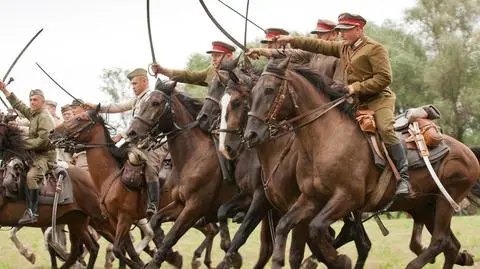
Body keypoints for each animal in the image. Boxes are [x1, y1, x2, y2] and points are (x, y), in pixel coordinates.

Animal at [244, 58, 480, 268]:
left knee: (440, 241)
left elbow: (317, 228)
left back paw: (413, 265)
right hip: (425, 207)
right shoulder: (311, 198)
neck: (326, 138)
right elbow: (285, 227)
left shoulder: (347, 198)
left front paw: (339, 260)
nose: (251, 135)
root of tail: (468, 152)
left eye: (269, 90)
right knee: (450, 245)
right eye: (252, 93)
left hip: (444, 202)